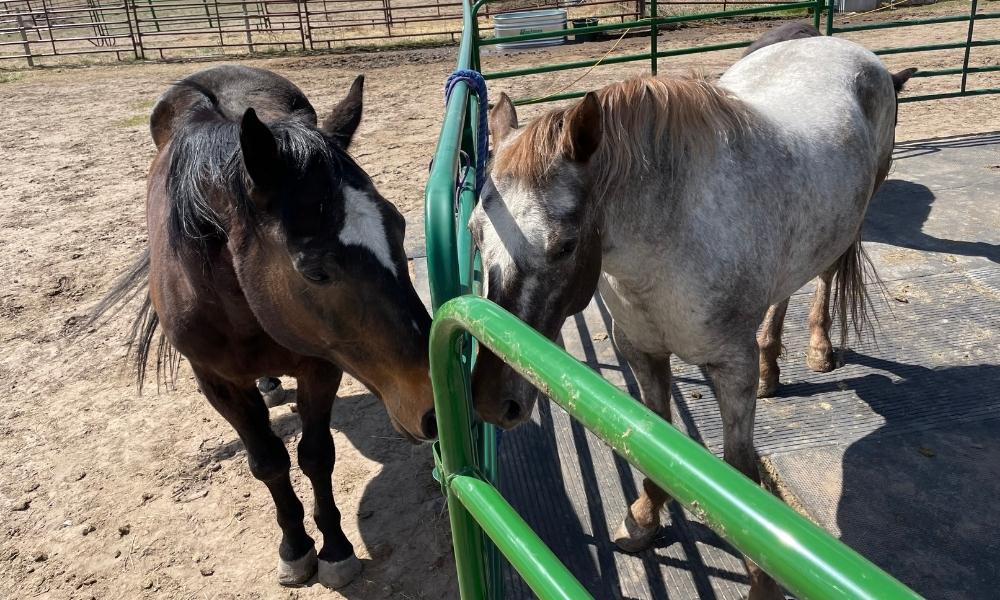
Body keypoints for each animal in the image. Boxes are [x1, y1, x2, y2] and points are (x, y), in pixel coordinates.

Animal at [92, 65, 436, 589]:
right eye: (315, 271)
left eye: (398, 227)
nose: (435, 406)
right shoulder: (217, 382)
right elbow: (270, 462)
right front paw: (295, 549)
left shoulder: (321, 365)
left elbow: (316, 455)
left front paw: (335, 549)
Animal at [470, 37, 905, 598]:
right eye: (476, 232)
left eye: (564, 245)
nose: (490, 401)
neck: (668, 238)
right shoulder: (641, 352)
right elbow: (653, 435)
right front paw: (644, 518)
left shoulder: (730, 369)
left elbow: (740, 471)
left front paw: (762, 580)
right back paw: (773, 369)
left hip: (853, 218)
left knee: (826, 275)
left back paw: (818, 348)